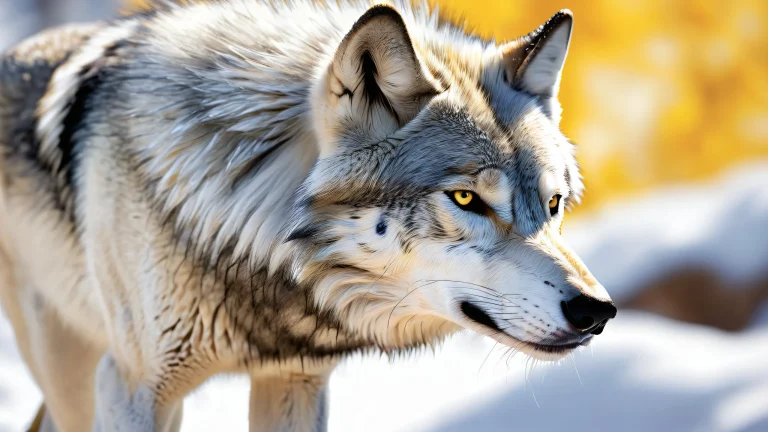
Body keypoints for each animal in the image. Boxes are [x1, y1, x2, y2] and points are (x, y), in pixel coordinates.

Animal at [0, 1, 616, 430]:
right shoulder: (132, 387)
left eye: (553, 204)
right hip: (76, 377)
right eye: (467, 199)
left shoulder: (295, 381)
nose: (598, 311)